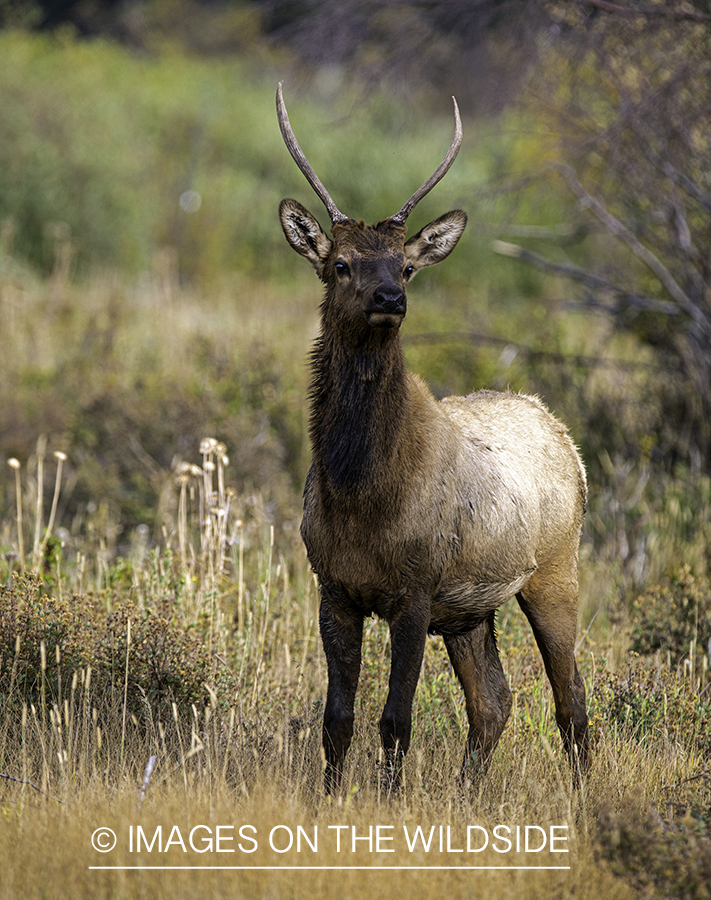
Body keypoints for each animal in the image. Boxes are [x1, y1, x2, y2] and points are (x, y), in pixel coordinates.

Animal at [276, 81, 588, 792]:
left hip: (556, 570)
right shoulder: (334, 588)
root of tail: (567, 439)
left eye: (407, 267)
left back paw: (584, 795)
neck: (360, 493)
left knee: (571, 701)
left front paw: (387, 804)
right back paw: (469, 793)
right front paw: (330, 801)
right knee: (495, 700)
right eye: (340, 263)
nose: (389, 297)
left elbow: (396, 721)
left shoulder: (415, 590)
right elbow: (337, 721)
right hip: (471, 611)